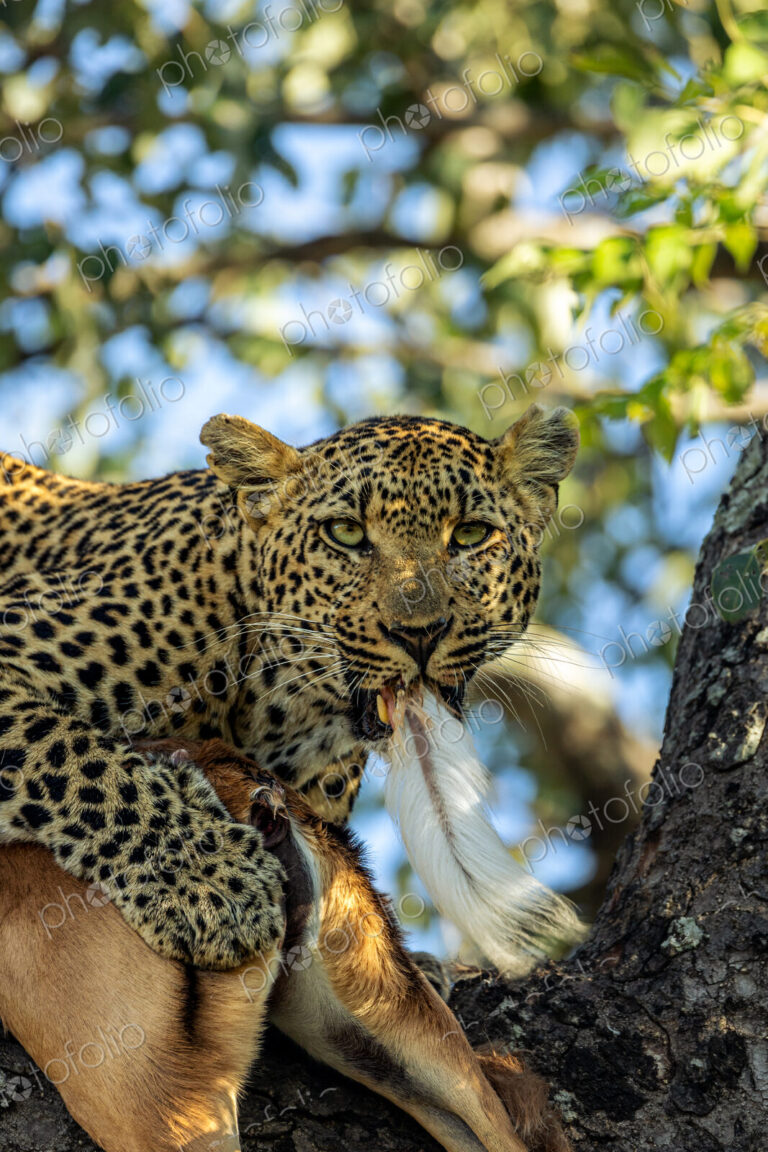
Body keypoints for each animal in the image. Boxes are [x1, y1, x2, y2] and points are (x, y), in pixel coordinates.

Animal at [0, 403, 579, 971]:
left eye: (470, 535)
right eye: (345, 532)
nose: (419, 633)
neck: (283, 705)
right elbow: (79, 759)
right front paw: (210, 881)